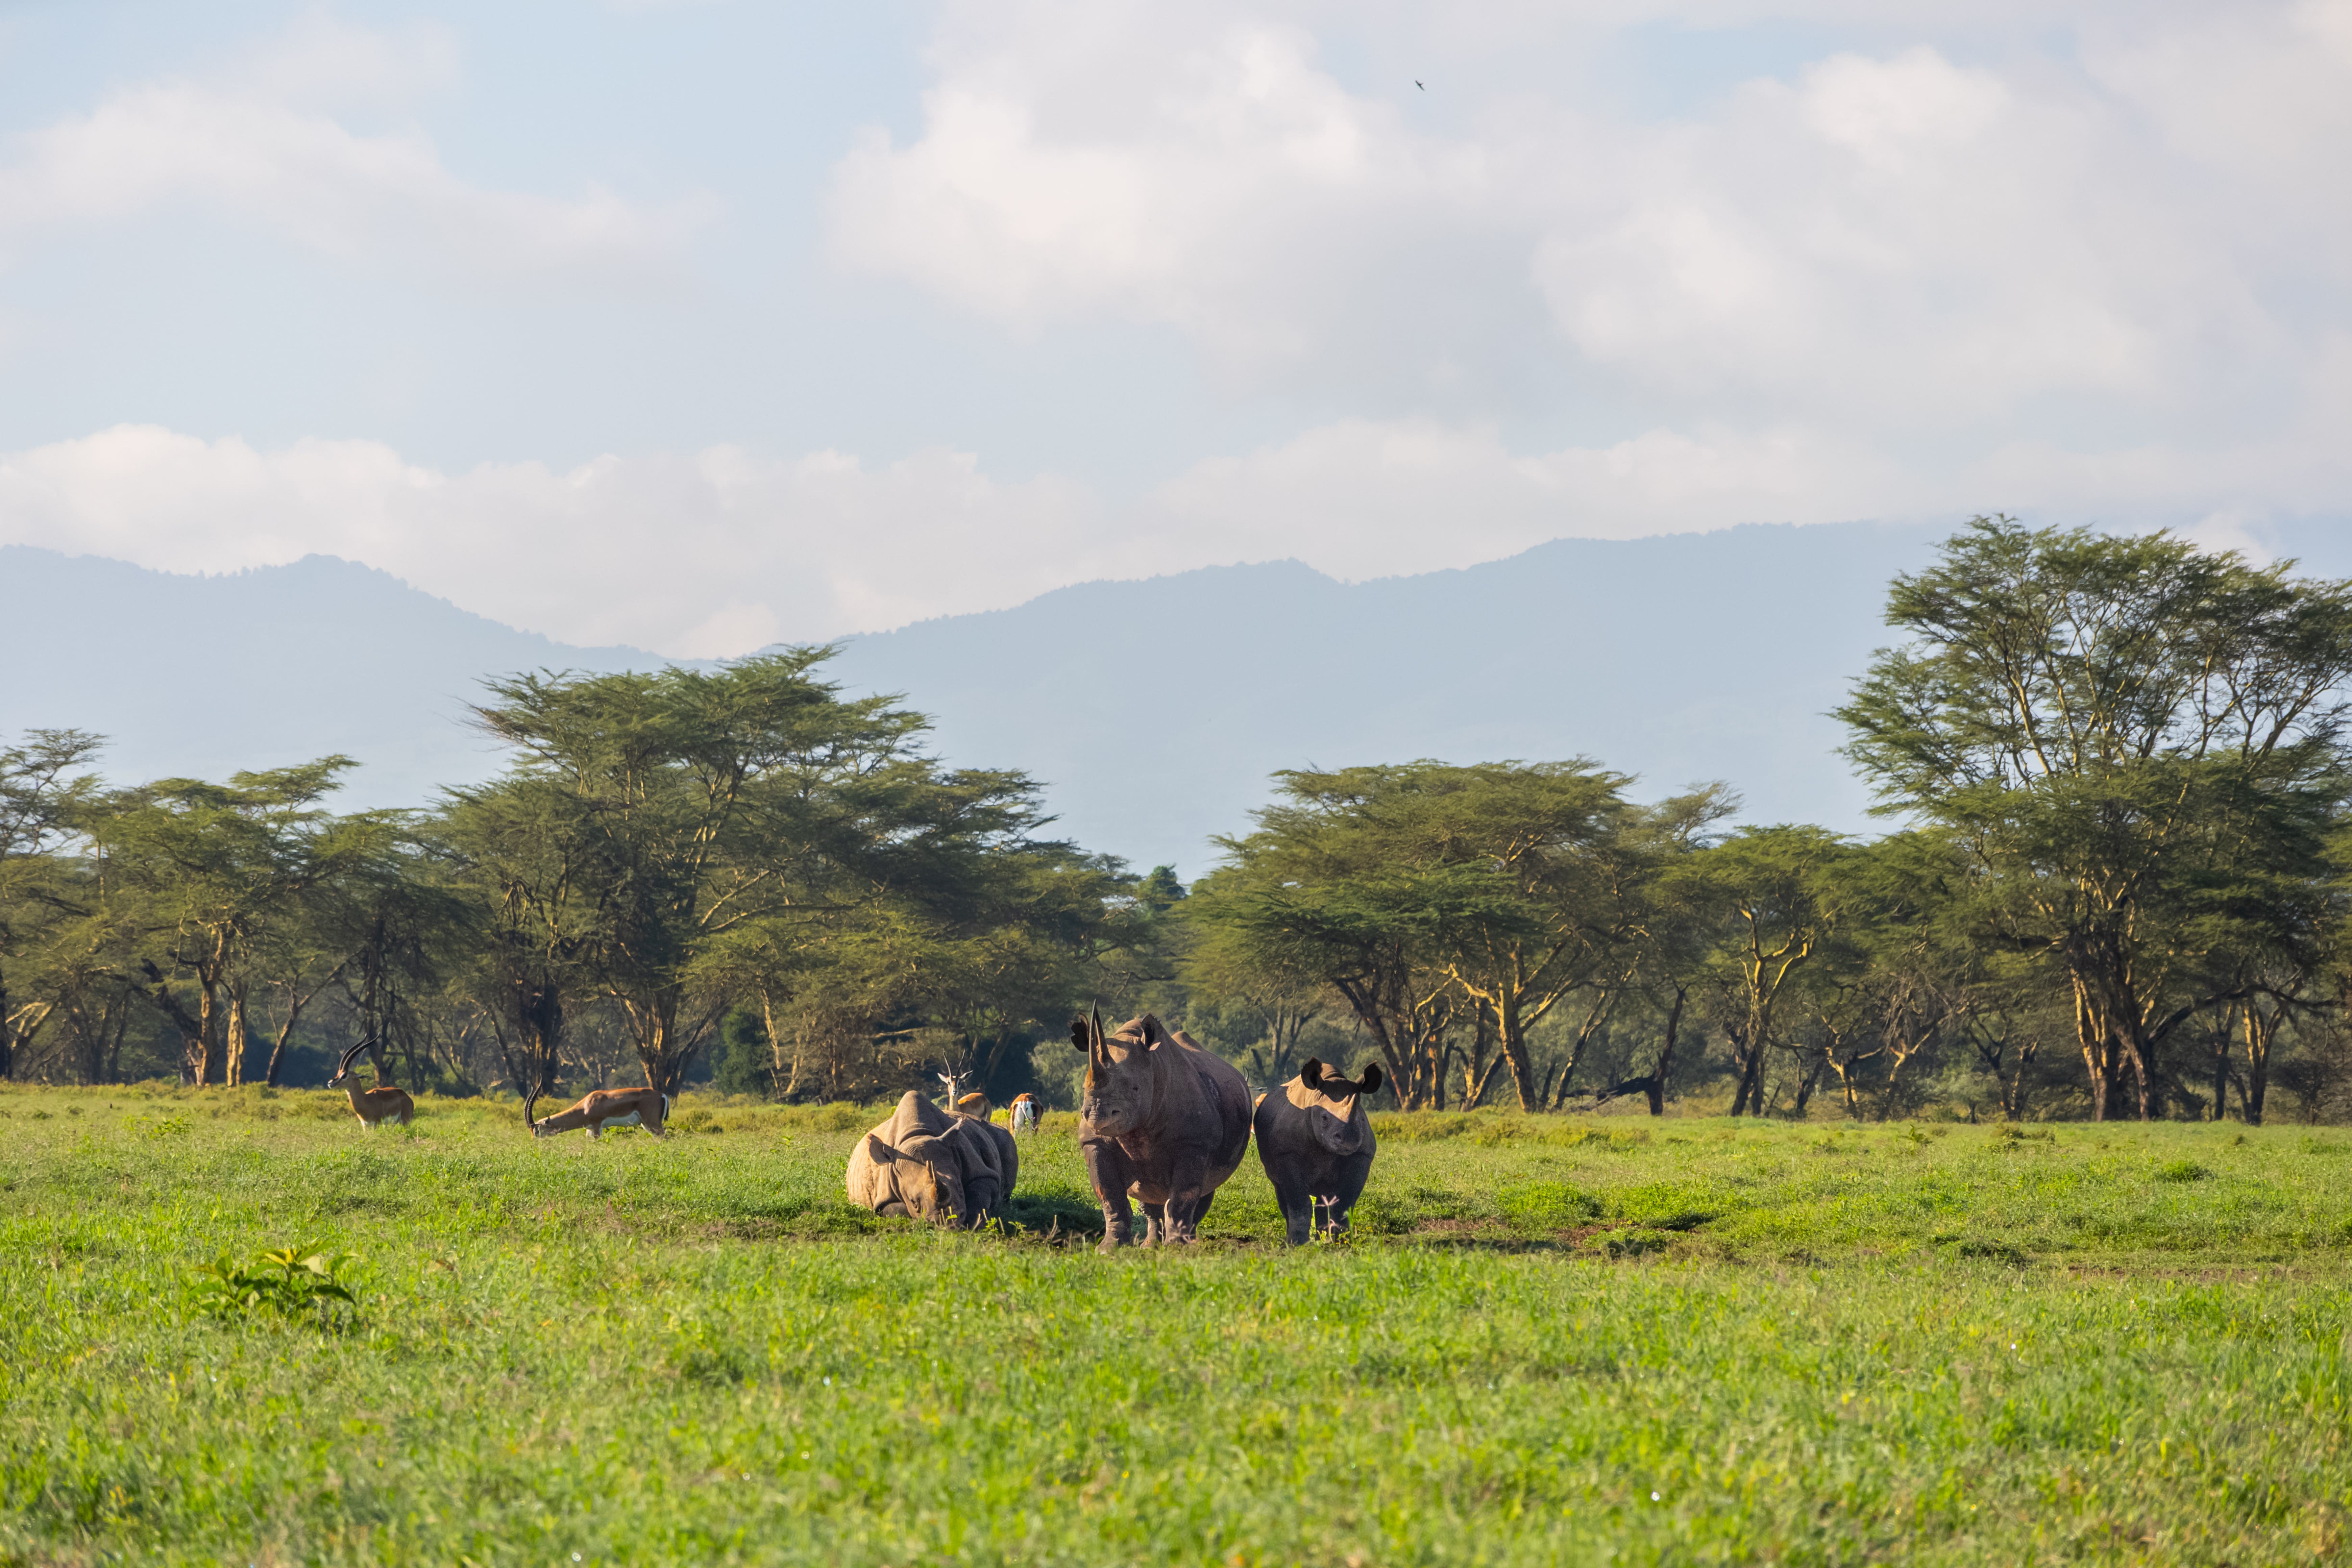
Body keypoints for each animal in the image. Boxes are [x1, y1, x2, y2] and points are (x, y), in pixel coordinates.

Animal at [845, 1090, 1019, 1229]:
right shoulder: (885, 1196)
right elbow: (896, 1210)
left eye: (959, 1187)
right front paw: (916, 1222)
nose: (948, 1224)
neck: (918, 1136)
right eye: (913, 1202)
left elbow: (980, 1192)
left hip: (999, 1133)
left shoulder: (979, 1169)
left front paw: (978, 1224)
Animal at [1073, 1010, 1252, 1252]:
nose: (1096, 1116)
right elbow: (1110, 1196)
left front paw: (1178, 1249)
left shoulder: (1195, 1143)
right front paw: (1109, 1248)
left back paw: (1188, 1243)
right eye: (1085, 1088)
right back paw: (1150, 1247)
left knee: (1201, 1192)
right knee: (1149, 1197)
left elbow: (1182, 1197)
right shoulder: (1096, 1142)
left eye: (1136, 1089)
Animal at [1252, 1058, 1383, 1245]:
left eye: (1361, 1118)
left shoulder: (1361, 1156)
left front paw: (1342, 1242)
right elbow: (1299, 1201)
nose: (1349, 1140)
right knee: (1281, 1191)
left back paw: (1323, 1239)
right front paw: (1297, 1244)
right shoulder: (1287, 1154)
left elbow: (1345, 1202)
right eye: (1324, 1118)